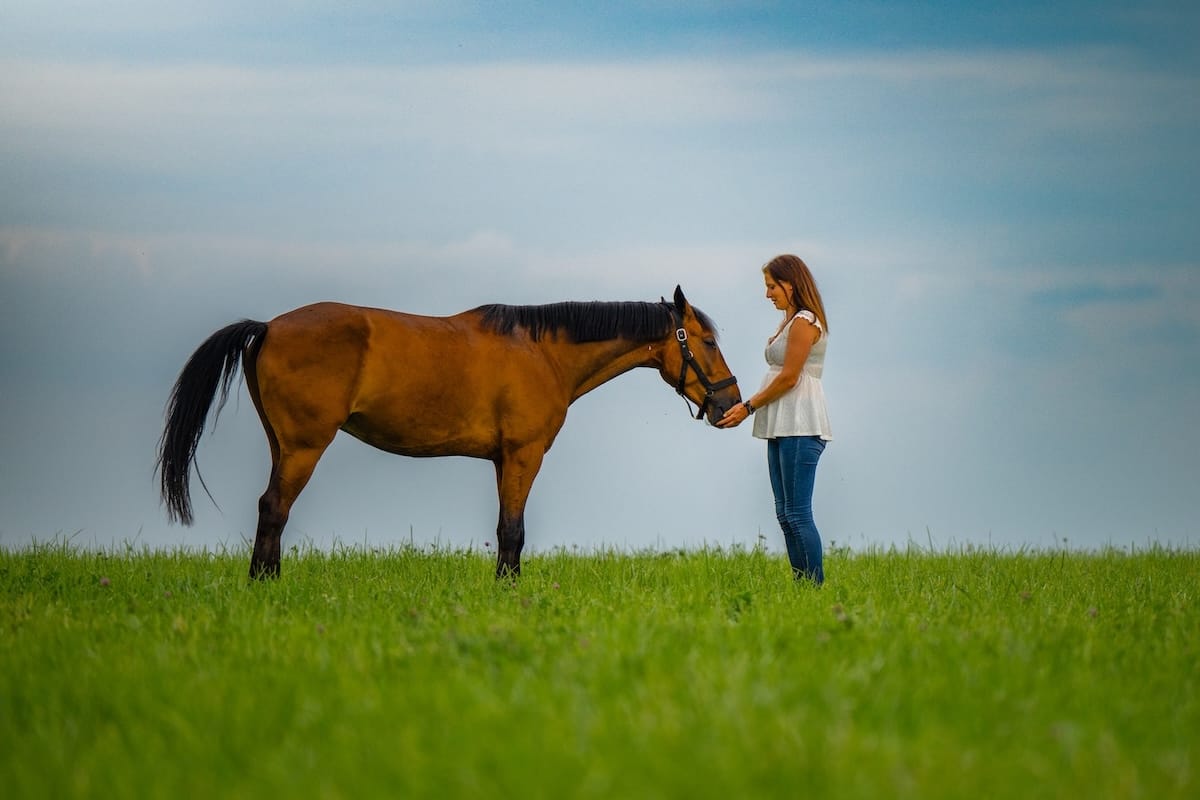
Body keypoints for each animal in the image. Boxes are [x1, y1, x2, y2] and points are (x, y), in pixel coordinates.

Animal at [156, 285, 741, 579]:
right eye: (708, 341)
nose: (729, 404)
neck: (542, 350)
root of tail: (269, 326)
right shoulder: (525, 454)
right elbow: (513, 531)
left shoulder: (503, 459)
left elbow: (506, 531)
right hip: (304, 447)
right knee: (274, 509)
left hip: (282, 444)